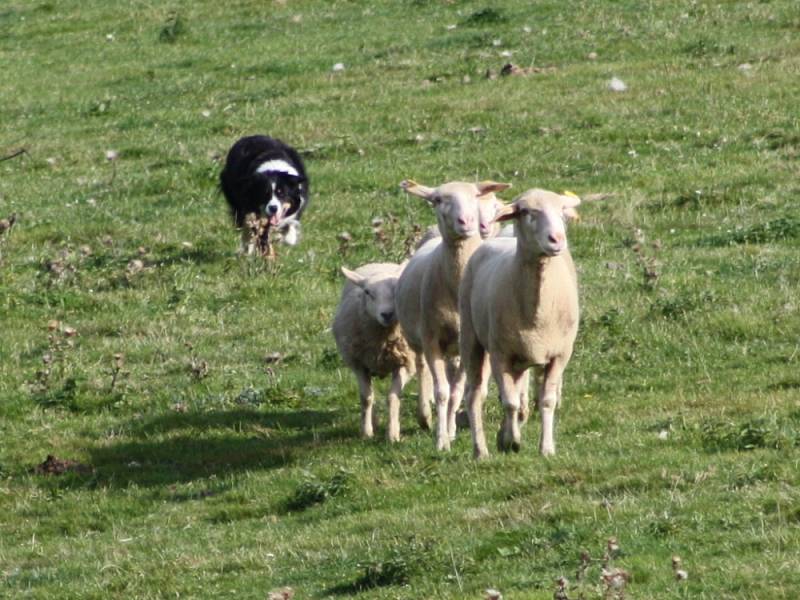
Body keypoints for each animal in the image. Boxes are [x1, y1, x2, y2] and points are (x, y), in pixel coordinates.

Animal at [332, 262, 416, 440]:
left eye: (396, 289)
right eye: (367, 292)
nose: (387, 314)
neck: (382, 340)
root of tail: (381, 263)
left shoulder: (404, 363)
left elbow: (393, 398)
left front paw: (392, 433)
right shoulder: (359, 364)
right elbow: (366, 398)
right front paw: (366, 431)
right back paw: (374, 421)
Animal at [396, 178, 512, 450]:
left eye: (475, 196)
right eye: (438, 199)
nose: (466, 221)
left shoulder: (475, 344)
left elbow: (459, 392)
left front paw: (449, 432)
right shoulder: (431, 339)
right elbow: (442, 392)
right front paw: (441, 441)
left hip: (457, 349)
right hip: (418, 338)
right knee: (422, 369)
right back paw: (424, 416)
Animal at [456, 190, 580, 458]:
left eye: (562, 211)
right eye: (526, 212)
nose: (557, 239)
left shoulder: (559, 355)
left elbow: (546, 401)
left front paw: (546, 448)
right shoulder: (500, 354)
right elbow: (510, 402)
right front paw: (511, 441)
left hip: (521, 356)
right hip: (471, 338)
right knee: (474, 395)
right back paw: (480, 451)